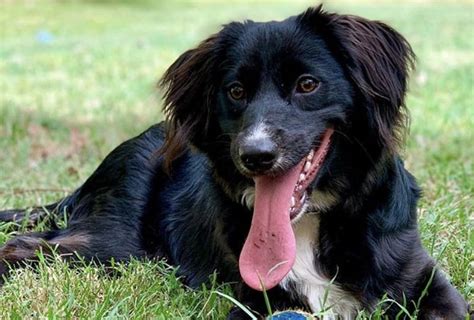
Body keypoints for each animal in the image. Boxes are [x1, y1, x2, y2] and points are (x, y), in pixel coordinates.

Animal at [0, 5, 468, 320]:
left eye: (307, 84)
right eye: (236, 91)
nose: (255, 156)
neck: (309, 227)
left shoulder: (425, 281)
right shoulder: (250, 299)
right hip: (115, 247)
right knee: (29, 246)